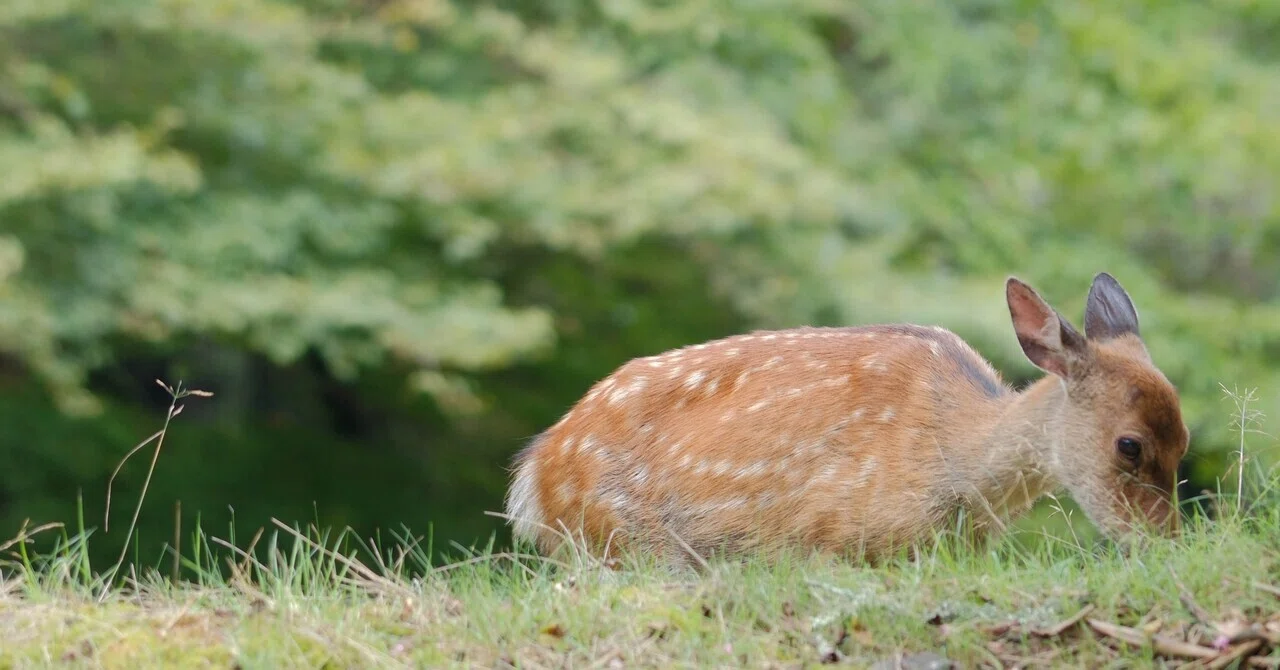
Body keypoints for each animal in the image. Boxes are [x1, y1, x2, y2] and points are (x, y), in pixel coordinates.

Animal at [503, 273, 1189, 566]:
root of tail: (532, 476)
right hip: (623, 539)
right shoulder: (829, 534)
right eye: (1129, 444)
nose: (1167, 541)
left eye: (1184, 440)